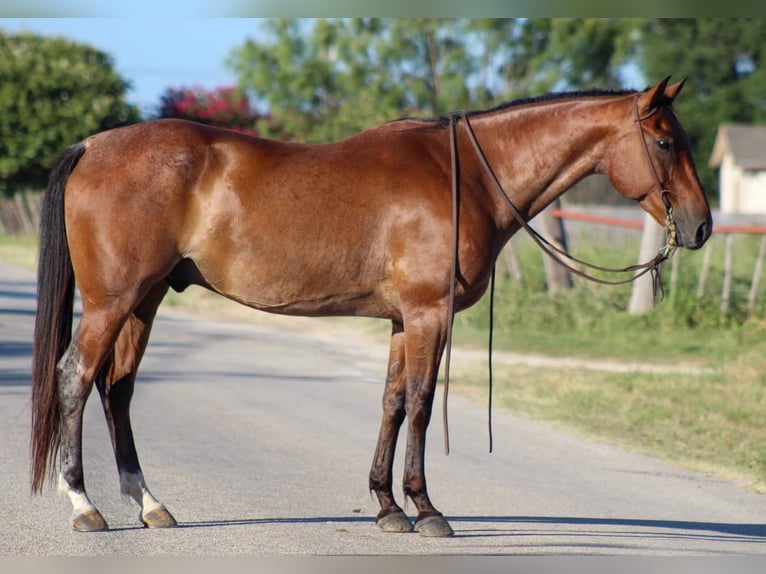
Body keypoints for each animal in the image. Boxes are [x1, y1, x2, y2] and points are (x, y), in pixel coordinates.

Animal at [31, 76, 711, 537]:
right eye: (664, 141)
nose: (701, 226)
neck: (465, 176)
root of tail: (91, 146)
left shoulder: (402, 320)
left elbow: (391, 402)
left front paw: (387, 508)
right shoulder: (430, 314)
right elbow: (422, 404)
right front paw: (427, 509)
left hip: (143, 300)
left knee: (117, 389)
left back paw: (149, 504)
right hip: (112, 302)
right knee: (76, 378)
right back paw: (85, 506)